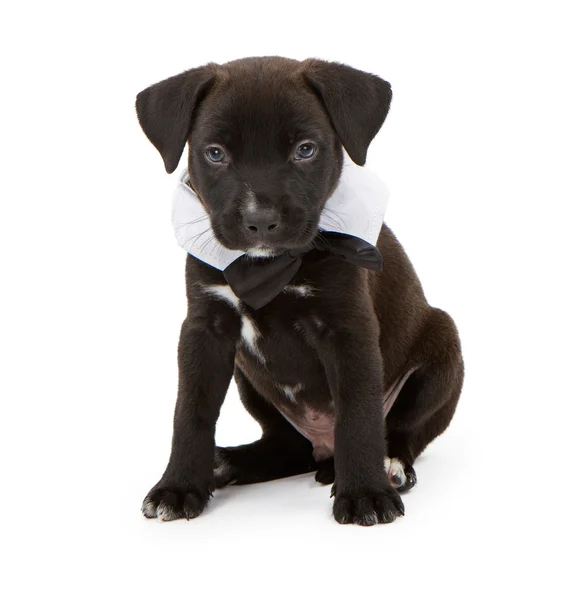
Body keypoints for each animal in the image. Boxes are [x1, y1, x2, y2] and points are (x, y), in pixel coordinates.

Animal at [135, 56, 464, 524]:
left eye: (306, 149)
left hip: (444, 346)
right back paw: (224, 463)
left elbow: (358, 412)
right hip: (249, 380)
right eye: (215, 153)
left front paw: (365, 493)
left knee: (402, 429)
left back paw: (389, 465)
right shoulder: (205, 328)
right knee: (288, 448)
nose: (260, 221)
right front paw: (179, 486)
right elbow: (191, 410)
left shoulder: (348, 329)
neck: (270, 268)